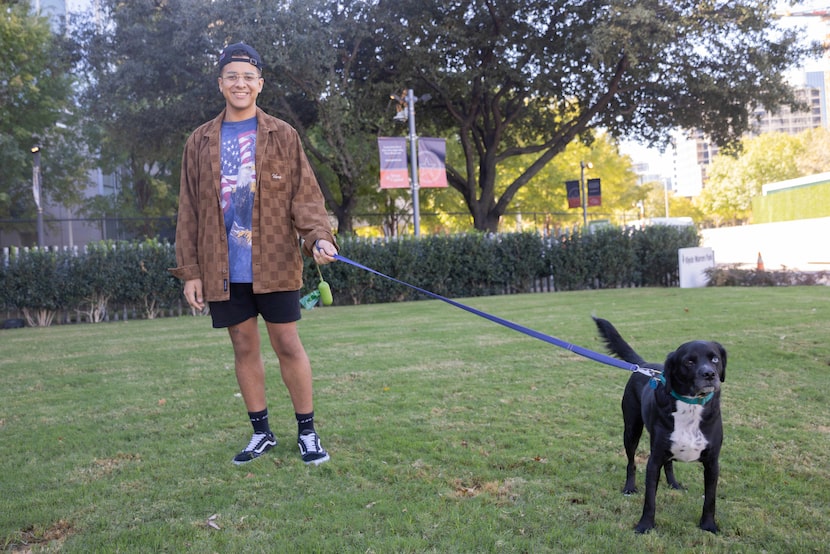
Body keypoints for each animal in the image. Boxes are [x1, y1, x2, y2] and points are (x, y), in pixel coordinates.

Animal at [596, 316, 724, 532]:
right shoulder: (654, 460)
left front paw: (708, 525)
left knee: (669, 463)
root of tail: (643, 365)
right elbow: (650, 499)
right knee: (631, 462)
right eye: (689, 361)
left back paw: (673, 484)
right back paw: (630, 487)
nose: (709, 375)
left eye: (714, 359)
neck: (691, 406)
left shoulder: (712, 462)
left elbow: (710, 499)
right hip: (631, 430)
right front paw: (645, 525)